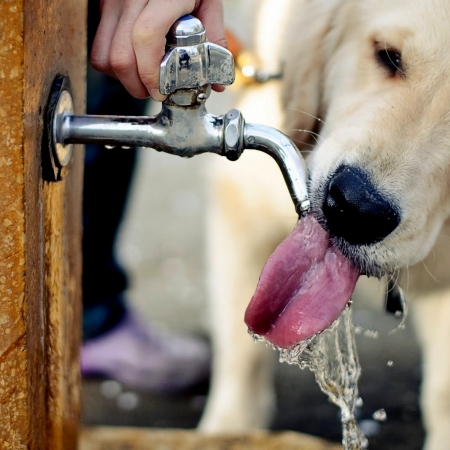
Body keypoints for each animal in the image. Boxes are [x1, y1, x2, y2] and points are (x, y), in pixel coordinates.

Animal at [197, 0, 450, 446]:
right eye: (388, 56)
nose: (355, 209)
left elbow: (443, 391)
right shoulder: (243, 198)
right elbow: (241, 353)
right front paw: (228, 431)